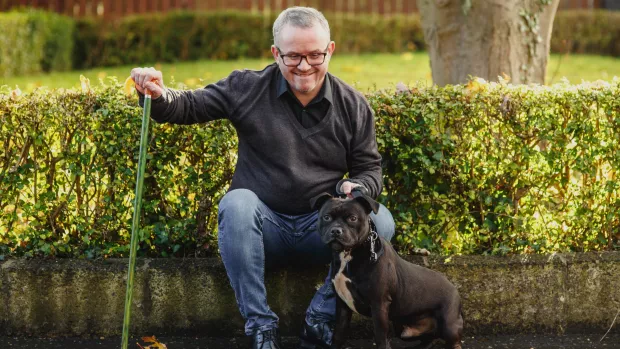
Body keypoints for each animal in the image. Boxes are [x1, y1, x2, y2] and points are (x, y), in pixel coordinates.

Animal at [312, 192, 462, 346]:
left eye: (353, 218)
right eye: (326, 217)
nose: (336, 230)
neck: (348, 255)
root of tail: (454, 289)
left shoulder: (379, 304)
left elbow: (381, 337)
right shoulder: (342, 306)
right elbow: (338, 334)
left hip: (449, 326)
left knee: (453, 342)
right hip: (404, 329)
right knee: (429, 337)